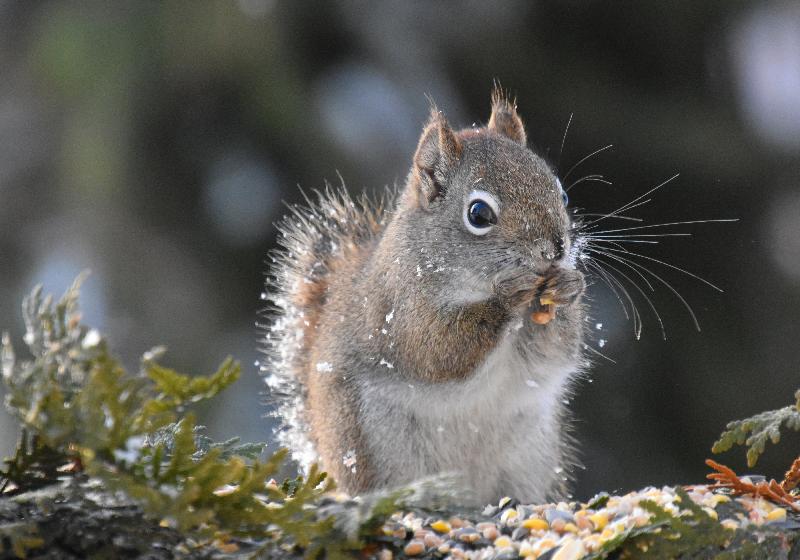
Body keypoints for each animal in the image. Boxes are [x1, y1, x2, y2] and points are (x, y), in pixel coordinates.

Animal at [264, 88, 588, 508]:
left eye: (560, 192)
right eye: (478, 214)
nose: (557, 248)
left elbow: (552, 355)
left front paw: (568, 287)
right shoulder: (398, 309)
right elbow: (437, 351)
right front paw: (507, 299)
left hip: (533, 455)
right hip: (372, 445)